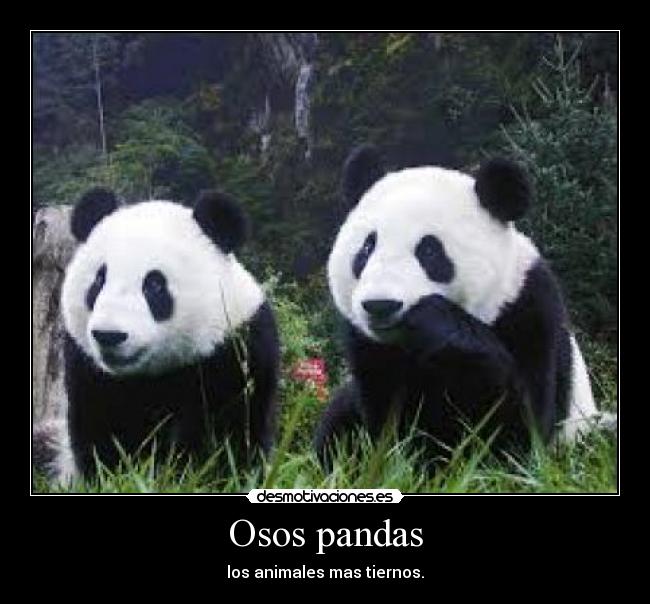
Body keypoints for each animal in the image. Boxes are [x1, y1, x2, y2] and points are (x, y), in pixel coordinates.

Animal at [51, 187, 279, 483]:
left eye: (155, 284)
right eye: (99, 281)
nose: (109, 335)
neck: (152, 376)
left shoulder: (237, 351)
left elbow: (229, 435)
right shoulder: (89, 372)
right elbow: (99, 434)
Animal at [315, 144, 610, 468]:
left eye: (430, 251)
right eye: (367, 248)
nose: (380, 305)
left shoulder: (528, 308)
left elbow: (516, 427)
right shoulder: (370, 349)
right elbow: (387, 424)